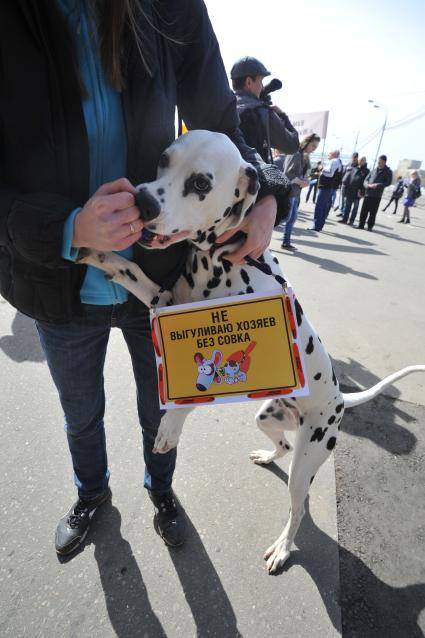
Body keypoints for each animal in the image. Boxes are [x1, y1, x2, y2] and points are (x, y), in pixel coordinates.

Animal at [77, 130, 424, 576]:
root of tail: (340, 399)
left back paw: (283, 548)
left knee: (297, 508)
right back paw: (267, 455)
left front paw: (170, 427)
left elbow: (193, 396)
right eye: (163, 159)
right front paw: (95, 247)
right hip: (268, 416)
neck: (216, 261)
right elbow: (128, 269)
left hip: (309, 457)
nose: (142, 201)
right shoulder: (162, 300)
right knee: (283, 447)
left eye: (201, 183)